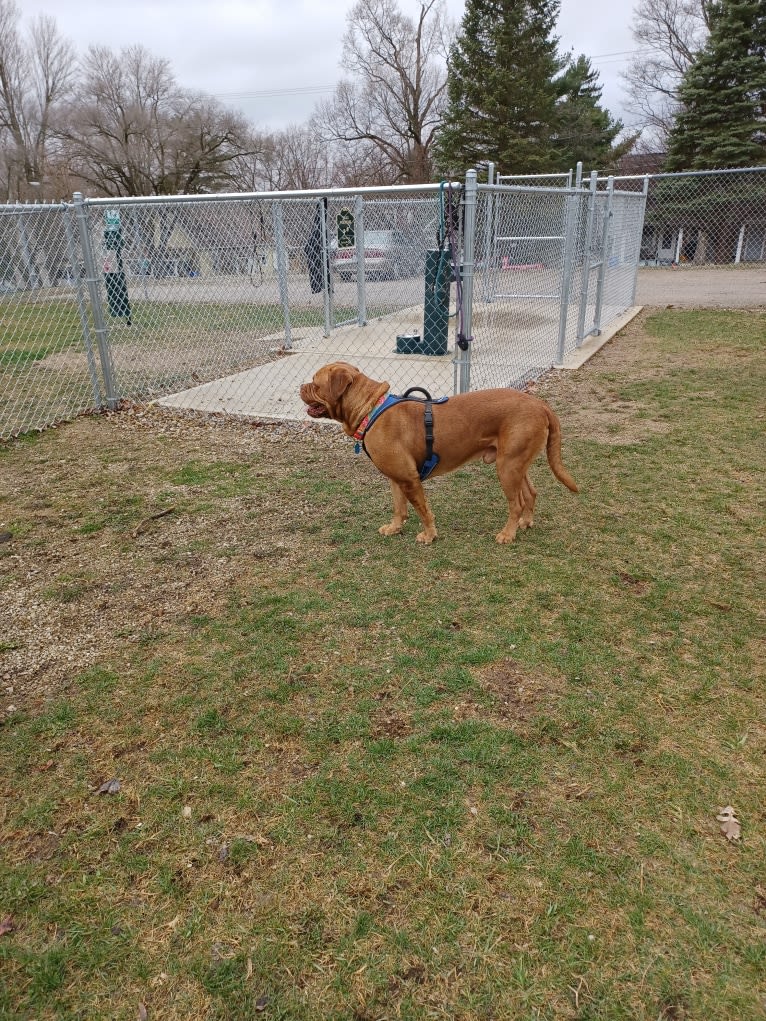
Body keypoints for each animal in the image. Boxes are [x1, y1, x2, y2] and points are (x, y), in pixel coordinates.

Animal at [302, 363, 580, 547]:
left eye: (315, 383)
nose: (300, 386)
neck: (371, 408)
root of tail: (540, 404)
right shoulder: (396, 478)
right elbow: (399, 508)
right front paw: (395, 528)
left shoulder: (409, 479)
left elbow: (423, 510)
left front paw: (429, 535)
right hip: (515, 463)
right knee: (531, 493)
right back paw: (526, 522)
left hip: (508, 467)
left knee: (516, 503)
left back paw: (508, 533)